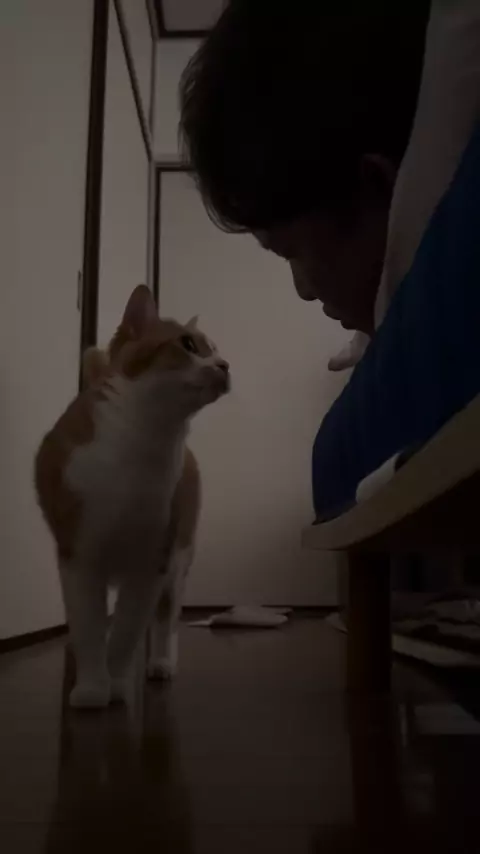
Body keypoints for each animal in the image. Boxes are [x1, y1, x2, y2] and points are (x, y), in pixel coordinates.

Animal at [35, 285, 229, 709]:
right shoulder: (79, 556)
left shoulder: (151, 561)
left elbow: (126, 631)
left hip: (178, 561)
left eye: (215, 349)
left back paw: (160, 663)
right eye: (188, 345)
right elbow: (91, 627)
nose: (225, 364)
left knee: (165, 619)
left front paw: (118, 684)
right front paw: (93, 688)